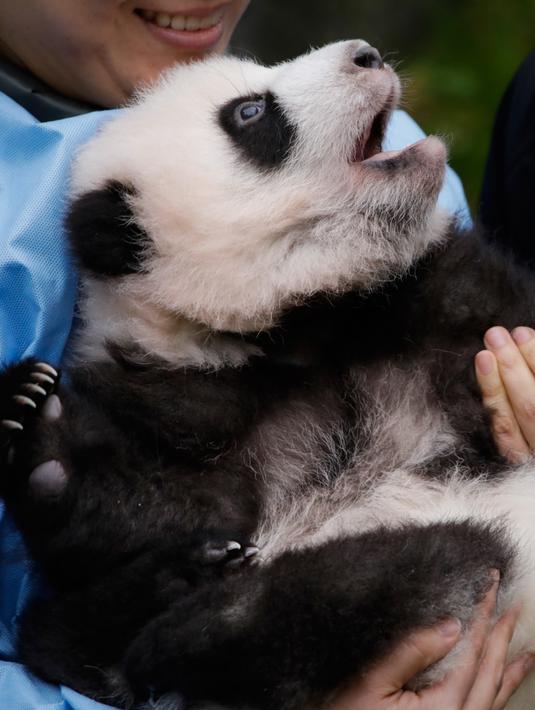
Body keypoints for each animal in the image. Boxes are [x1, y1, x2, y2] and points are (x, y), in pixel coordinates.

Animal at [2, 38, 535, 710]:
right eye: (250, 112)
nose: (366, 54)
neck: (305, 322)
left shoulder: (455, 303)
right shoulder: (188, 400)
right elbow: (157, 506)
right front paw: (41, 428)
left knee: (397, 575)